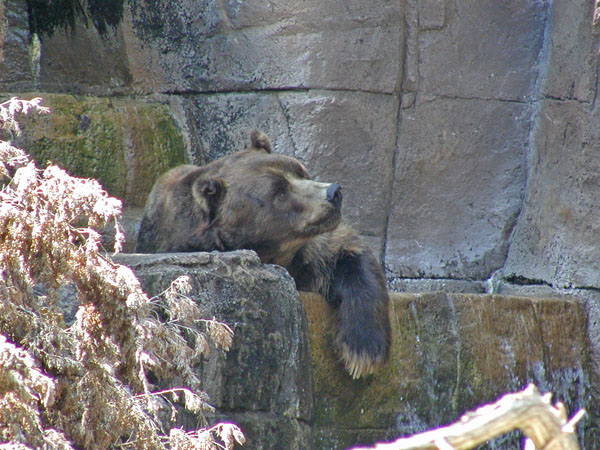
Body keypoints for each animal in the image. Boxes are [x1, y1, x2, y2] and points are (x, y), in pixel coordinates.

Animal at [135, 131, 394, 380]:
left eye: (301, 171)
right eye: (279, 192)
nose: (333, 192)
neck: (276, 255)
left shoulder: (313, 250)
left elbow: (349, 254)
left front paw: (363, 351)